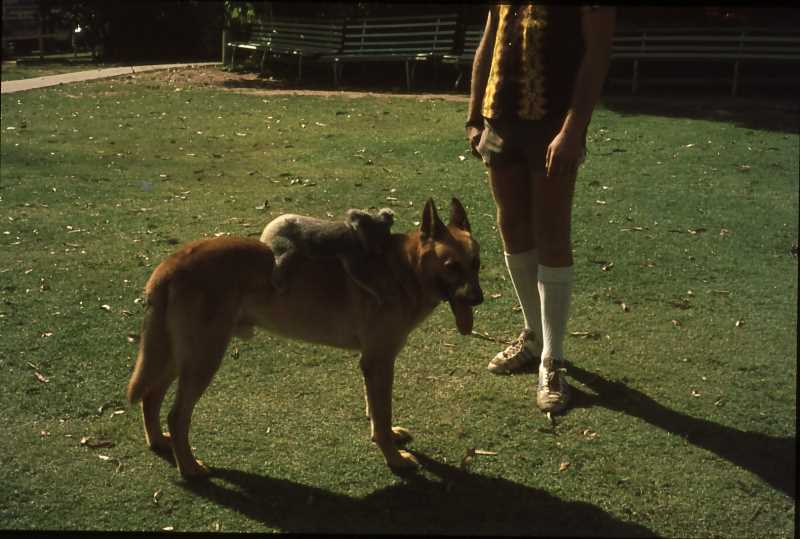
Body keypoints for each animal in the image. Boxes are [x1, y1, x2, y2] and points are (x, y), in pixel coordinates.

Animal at [263, 207, 394, 304]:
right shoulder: (350, 253)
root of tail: (265, 233)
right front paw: (380, 296)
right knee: (280, 261)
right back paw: (281, 287)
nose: (381, 250)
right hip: (284, 243)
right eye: (380, 236)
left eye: (387, 233)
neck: (357, 235)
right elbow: (358, 274)